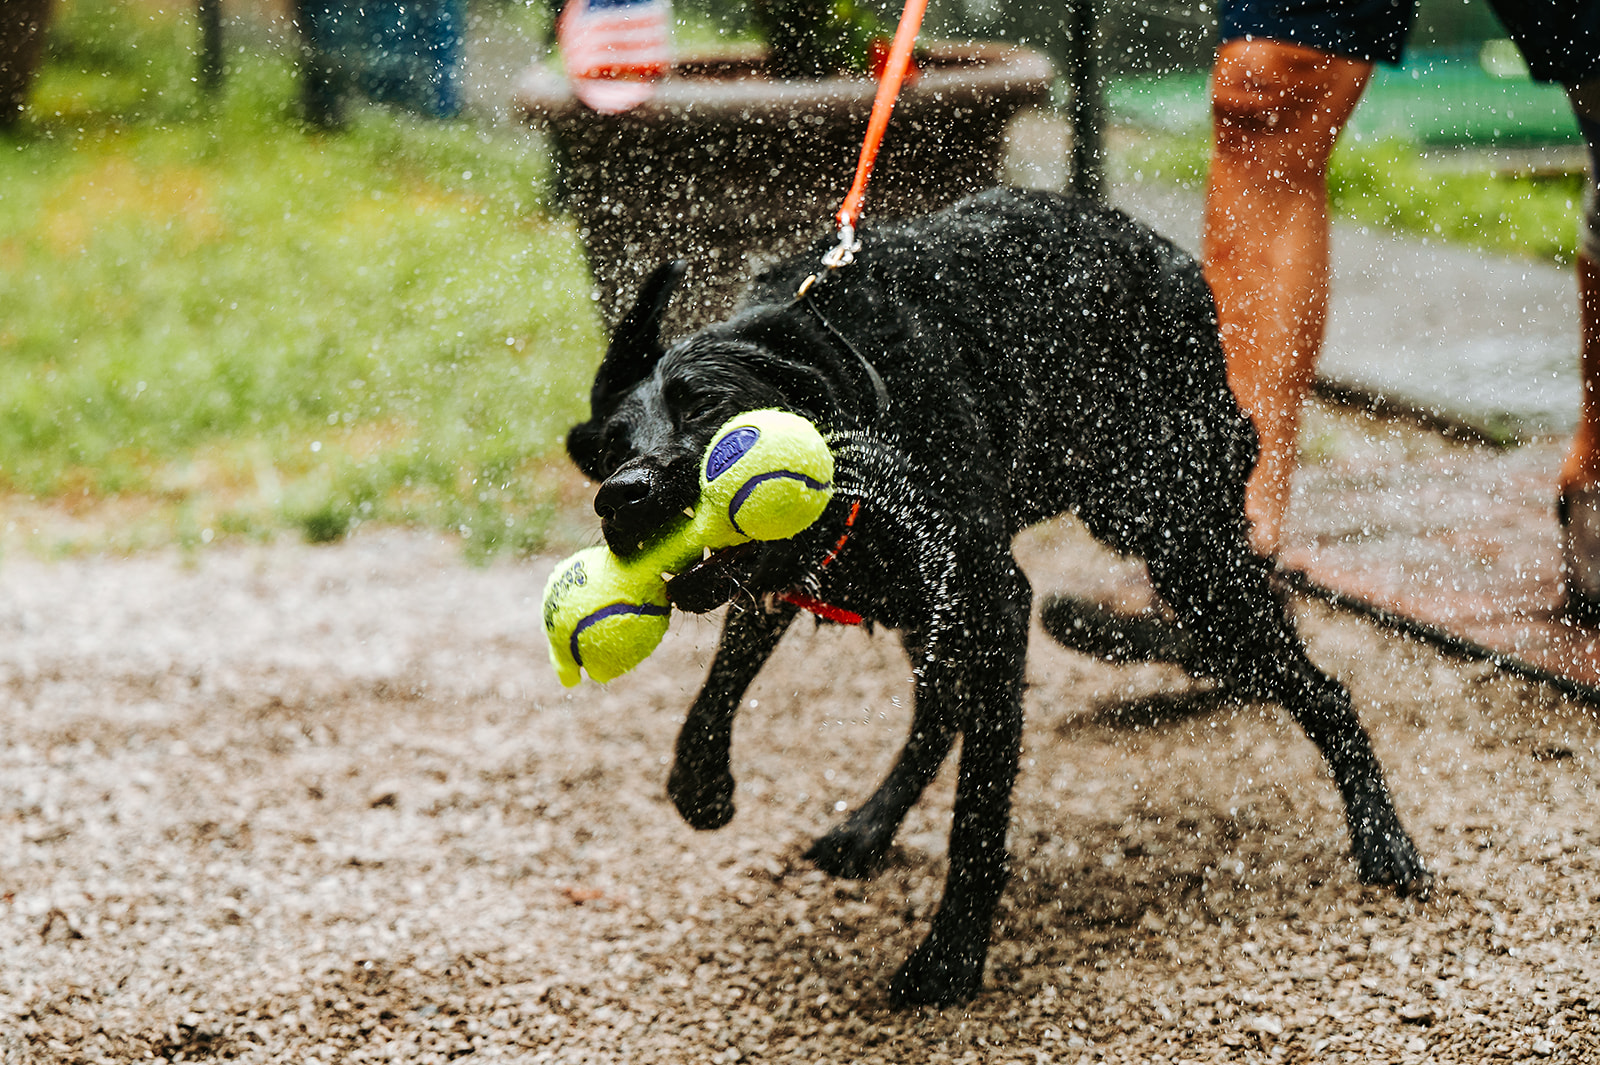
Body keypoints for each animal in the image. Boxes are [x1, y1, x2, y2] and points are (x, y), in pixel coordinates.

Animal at [560, 184, 1427, 1004]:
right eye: (611, 448)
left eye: (705, 405)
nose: (622, 495)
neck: (866, 405)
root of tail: (1181, 268)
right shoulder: (803, 579)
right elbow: (719, 686)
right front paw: (700, 783)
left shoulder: (994, 600)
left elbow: (977, 811)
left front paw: (949, 959)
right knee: (938, 713)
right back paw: (868, 826)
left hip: (1180, 543)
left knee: (1320, 688)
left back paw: (1384, 841)